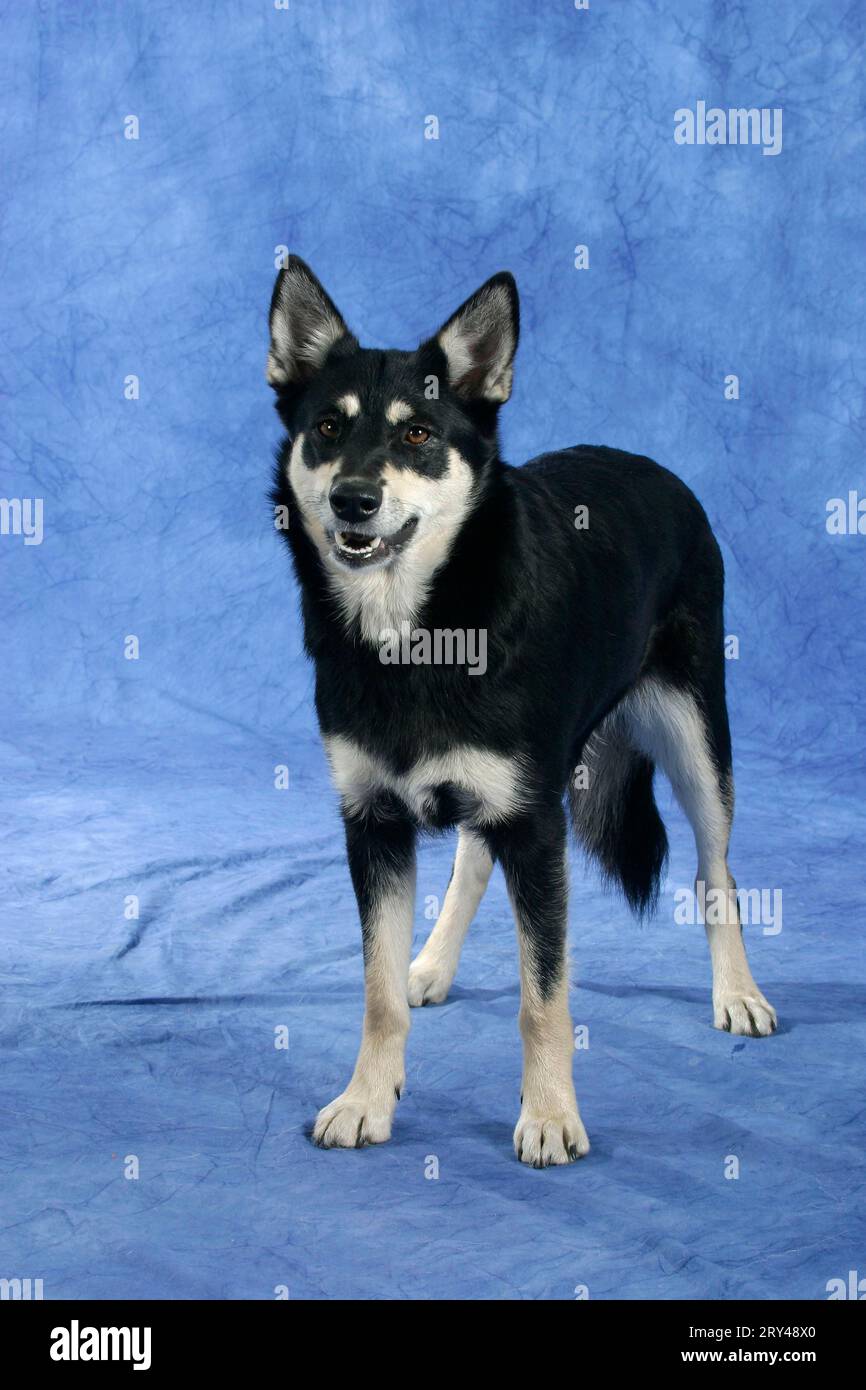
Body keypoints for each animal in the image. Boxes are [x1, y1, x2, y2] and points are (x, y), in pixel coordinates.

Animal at [265, 255, 778, 1167]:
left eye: (417, 436)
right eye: (326, 427)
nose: (354, 500)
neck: (421, 631)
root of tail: (656, 468)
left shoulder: (537, 828)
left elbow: (544, 997)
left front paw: (548, 1115)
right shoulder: (374, 822)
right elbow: (376, 991)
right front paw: (367, 1098)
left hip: (695, 736)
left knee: (714, 870)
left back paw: (738, 992)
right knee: (473, 859)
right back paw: (430, 964)